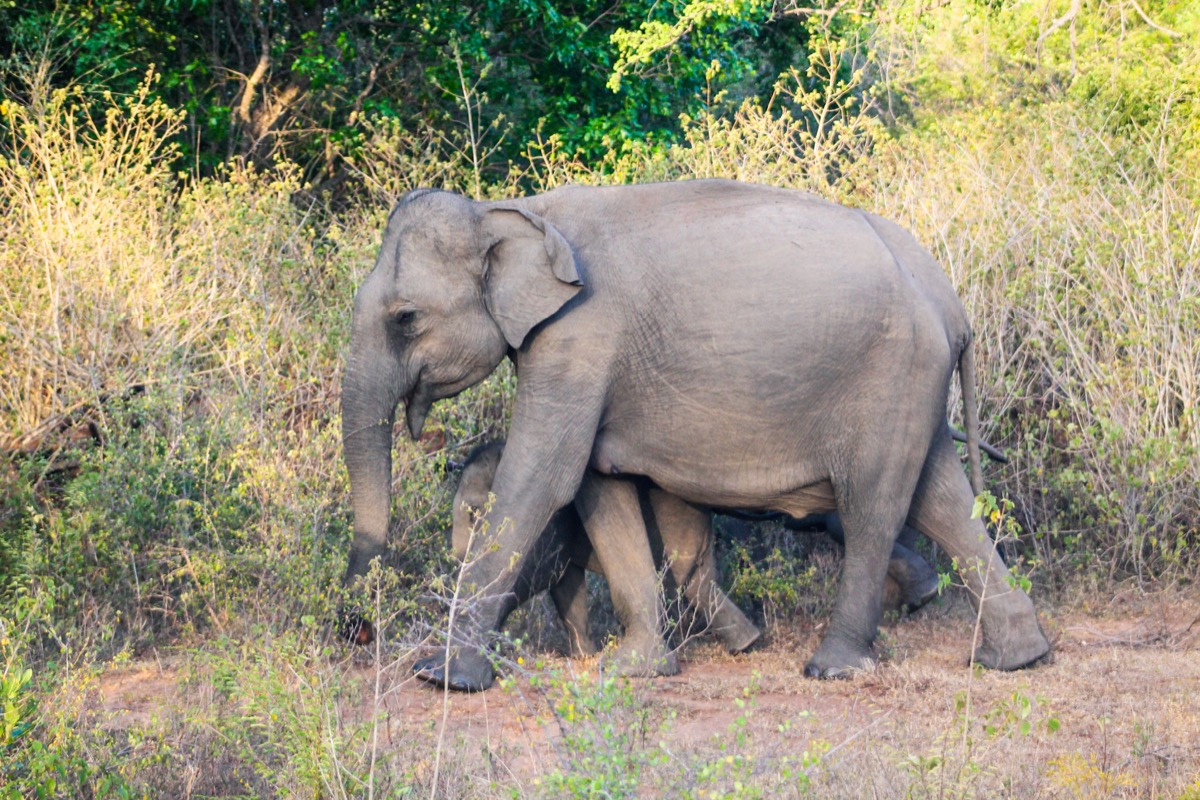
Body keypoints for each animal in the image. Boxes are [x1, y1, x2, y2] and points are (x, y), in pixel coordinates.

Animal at [451, 440, 761, 668]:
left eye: (474, 512)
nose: (455, 557)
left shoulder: (554, 524)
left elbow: (536, 575)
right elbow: (565, 584)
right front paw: (584, 656)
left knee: (678, 587)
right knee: (701, 588)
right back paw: (746, 644)